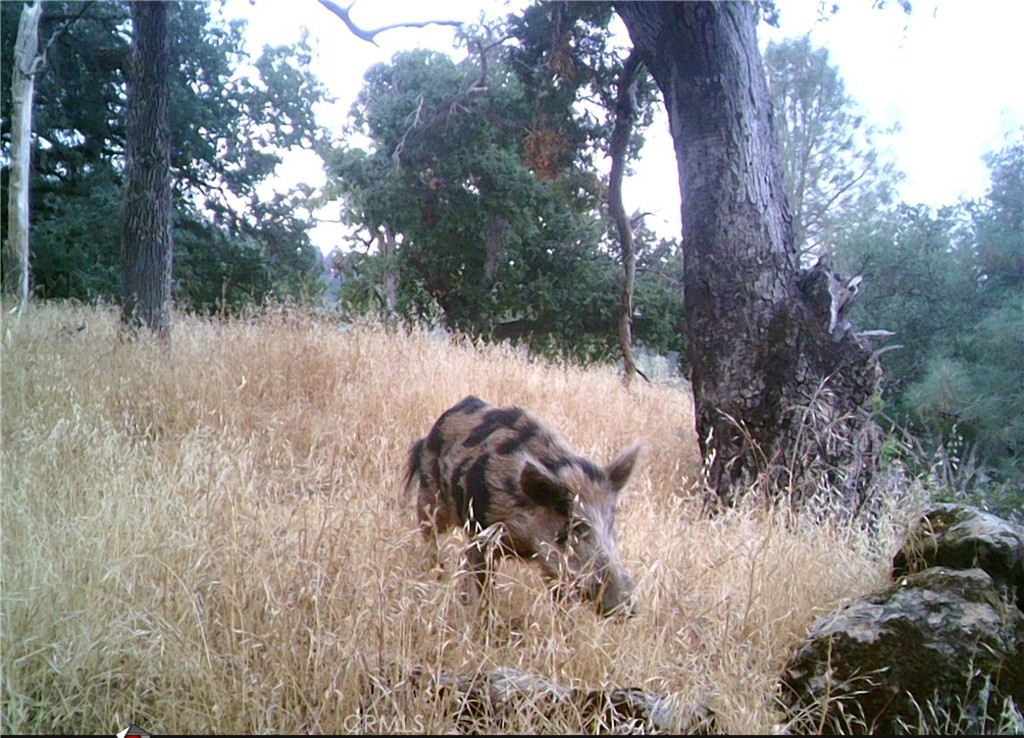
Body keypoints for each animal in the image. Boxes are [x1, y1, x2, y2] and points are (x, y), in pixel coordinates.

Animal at [403, 395, 641, 617]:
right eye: (576, 527)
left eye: (611, 524)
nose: (628, 607)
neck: (525, 540)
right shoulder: (483, 534)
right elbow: (482, 587)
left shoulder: (552, 563)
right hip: (430, 496)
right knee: (430, 534)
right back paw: (436, 573)